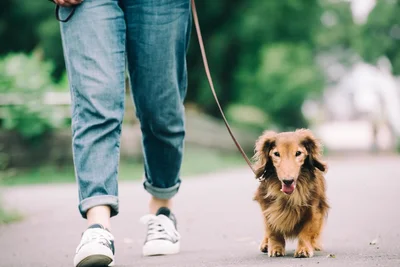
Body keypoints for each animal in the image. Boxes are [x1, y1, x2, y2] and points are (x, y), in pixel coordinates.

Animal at [253, 129, 328, 258]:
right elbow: (272, 230)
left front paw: (304, 249)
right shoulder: (268, 207)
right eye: (276, 154)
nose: (288, 181)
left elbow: (307, 231)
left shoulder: (314, 210)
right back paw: (266, 244)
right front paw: (276, 248)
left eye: (298, 153)